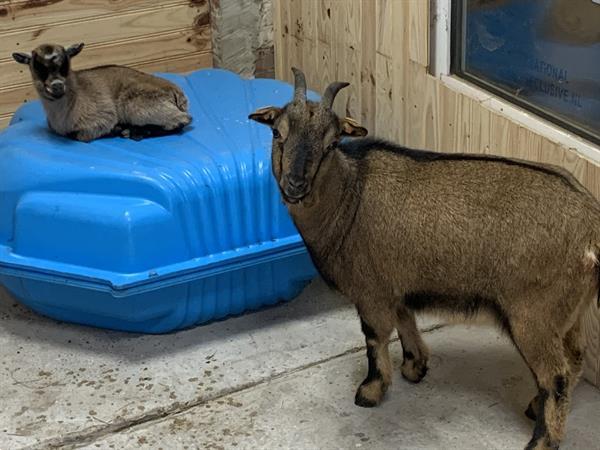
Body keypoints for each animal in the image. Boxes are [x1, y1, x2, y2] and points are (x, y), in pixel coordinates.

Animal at [12, 42, 191, 141]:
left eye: (66, 63)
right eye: (37, 66)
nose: (57, 85)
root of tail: (177, 93)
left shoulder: (103, 116)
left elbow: (78, 136)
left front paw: (116, 129)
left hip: (137, 107)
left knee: (182, 120)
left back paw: (133, 132)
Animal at [248, 67, 600, 450]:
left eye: (331, 143)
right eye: (278, 132)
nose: (295, 185)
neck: (348, 198)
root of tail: (592, 226)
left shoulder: (371, 292)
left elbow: (375, 338)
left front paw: (370, 391)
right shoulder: (395, 285)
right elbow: (405, 321)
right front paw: (415, 367)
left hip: (533, 314)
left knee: (555, 375)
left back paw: (541, 440)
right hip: (569, 312)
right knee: (574, 358)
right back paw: (537, 406)